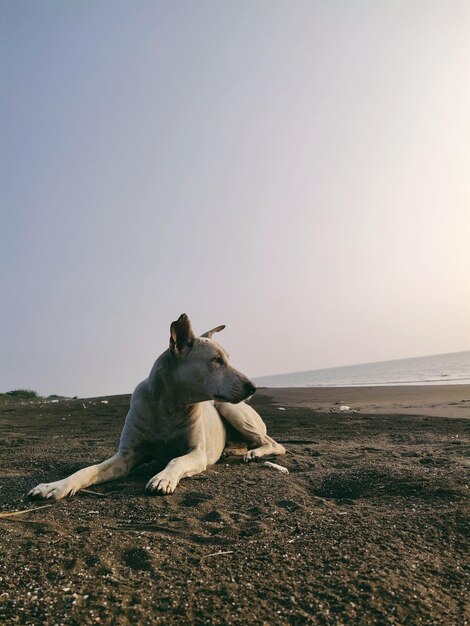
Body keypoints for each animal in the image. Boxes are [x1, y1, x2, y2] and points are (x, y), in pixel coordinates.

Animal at [30, 312, 286, 498]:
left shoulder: (196, 453)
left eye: (227, 359)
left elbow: (176, 459)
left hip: (230, 409)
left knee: (274, 444)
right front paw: (55, 486)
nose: (253, 387)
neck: (170, 407)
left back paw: (254, 453)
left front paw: (162, 478)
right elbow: (88, 469)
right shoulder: (127, 455)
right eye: (216, 360)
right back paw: (233, 450)